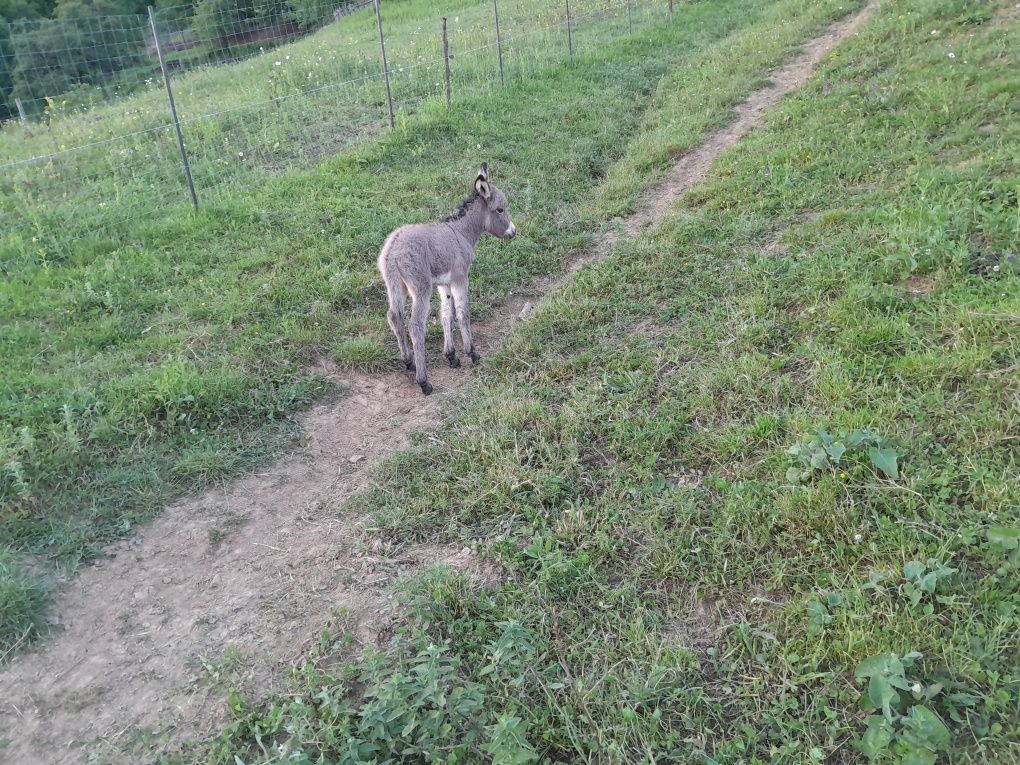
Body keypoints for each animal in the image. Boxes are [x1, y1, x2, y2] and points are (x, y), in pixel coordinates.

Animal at [377, 165, 518, 397]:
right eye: (500, 210)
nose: (513, 232)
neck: (461, 232)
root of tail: (393, 249)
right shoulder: (461, 278)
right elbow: (462, 313)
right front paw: (472, 353)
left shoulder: (445, 284)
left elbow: (446, 314)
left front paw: (451, 356)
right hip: (421, 288)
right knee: (416, 326)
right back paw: (424, 381)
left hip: (396, 286)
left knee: (395, 317)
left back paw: (409, 362)